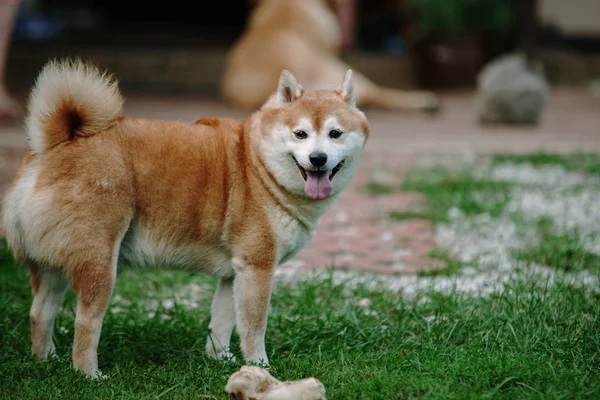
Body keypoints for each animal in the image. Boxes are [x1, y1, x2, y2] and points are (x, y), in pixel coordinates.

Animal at [2, 57, 368, 376]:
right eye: (300, 134)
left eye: (335, 134)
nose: (318, 158)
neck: (258, 167)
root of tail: (53, 144)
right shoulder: (258, 267)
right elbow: (253, 327)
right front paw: (259, 366)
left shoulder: (234, 272)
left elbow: (221, 323)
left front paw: (221, 360)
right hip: (100, 263)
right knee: (85, 324)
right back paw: (89, 375)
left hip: (53, 265)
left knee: (39, 313)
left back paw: (47, 361)